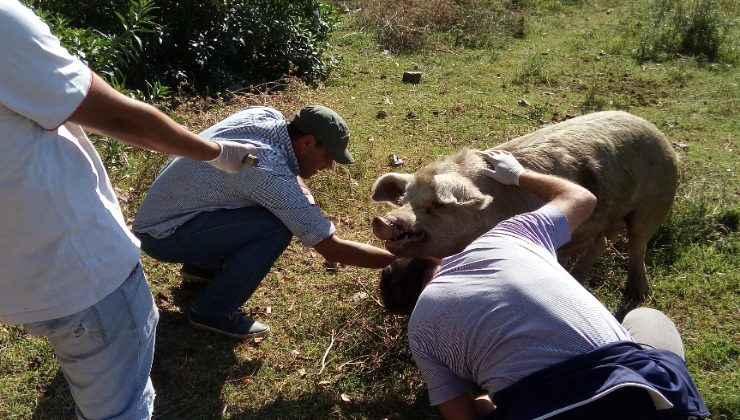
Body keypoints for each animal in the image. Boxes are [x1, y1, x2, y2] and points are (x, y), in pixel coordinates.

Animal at [372, 110, 680, 300]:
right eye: (404, 200)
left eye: (435, 205)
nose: (383, 220)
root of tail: (659, 134)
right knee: (600, 243)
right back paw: (577, 277)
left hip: (657, 201)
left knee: (638, 244)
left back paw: (639, 294)